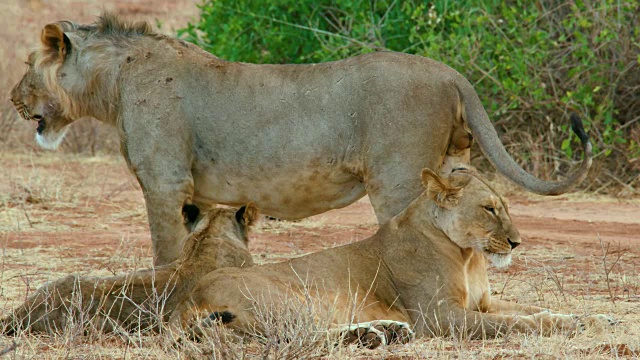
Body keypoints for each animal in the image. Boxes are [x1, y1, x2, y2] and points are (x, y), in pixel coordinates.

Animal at [10, 14, 592, 264]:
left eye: (26, 63)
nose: (13, 97)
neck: (112, 85)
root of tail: (450, 72)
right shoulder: (190, 193)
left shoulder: (164, 182)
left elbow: (165, 252)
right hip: (453, 166)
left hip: (401, 178)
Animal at [170, 165, 616, 346]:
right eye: (489, 209)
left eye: (504, 205)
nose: (517, 242)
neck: (467, 256)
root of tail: (189, 298)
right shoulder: (440, 317)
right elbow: (514, 324)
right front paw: (565, 325)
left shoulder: (483, 303)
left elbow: (532, 309)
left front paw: (592, 317)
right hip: (291, 298)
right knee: (295, 335)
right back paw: (373, 335)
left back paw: (385, 331)